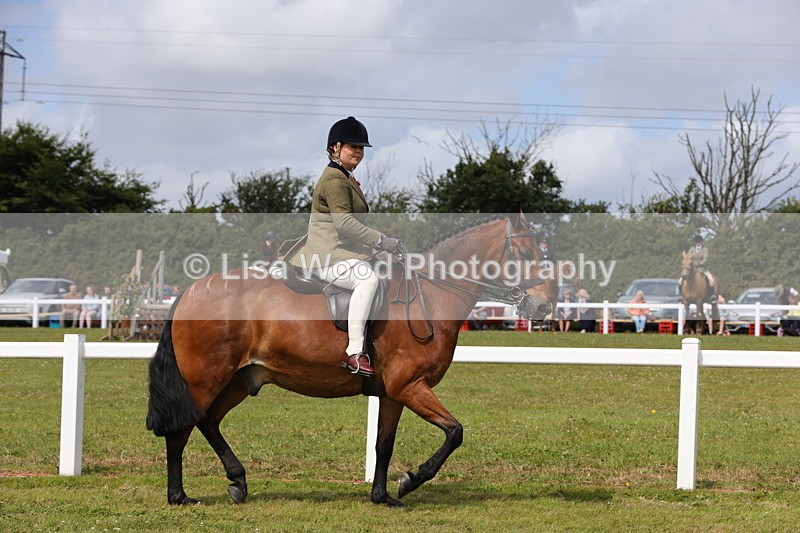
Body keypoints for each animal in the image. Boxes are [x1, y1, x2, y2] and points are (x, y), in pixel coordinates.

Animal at [146, 212, 557, 507]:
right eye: (525, 255)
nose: (543, 308)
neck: (430, 293)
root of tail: (191, 290)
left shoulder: (394, 393)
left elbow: (384, 445)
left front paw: (383, 496)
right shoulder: (411, 386)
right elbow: (454, 432)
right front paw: (410, 481)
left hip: (240, 379)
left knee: (208, 421)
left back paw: (237, 481)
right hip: (205, 378)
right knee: (183, 428)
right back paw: (179, 496)